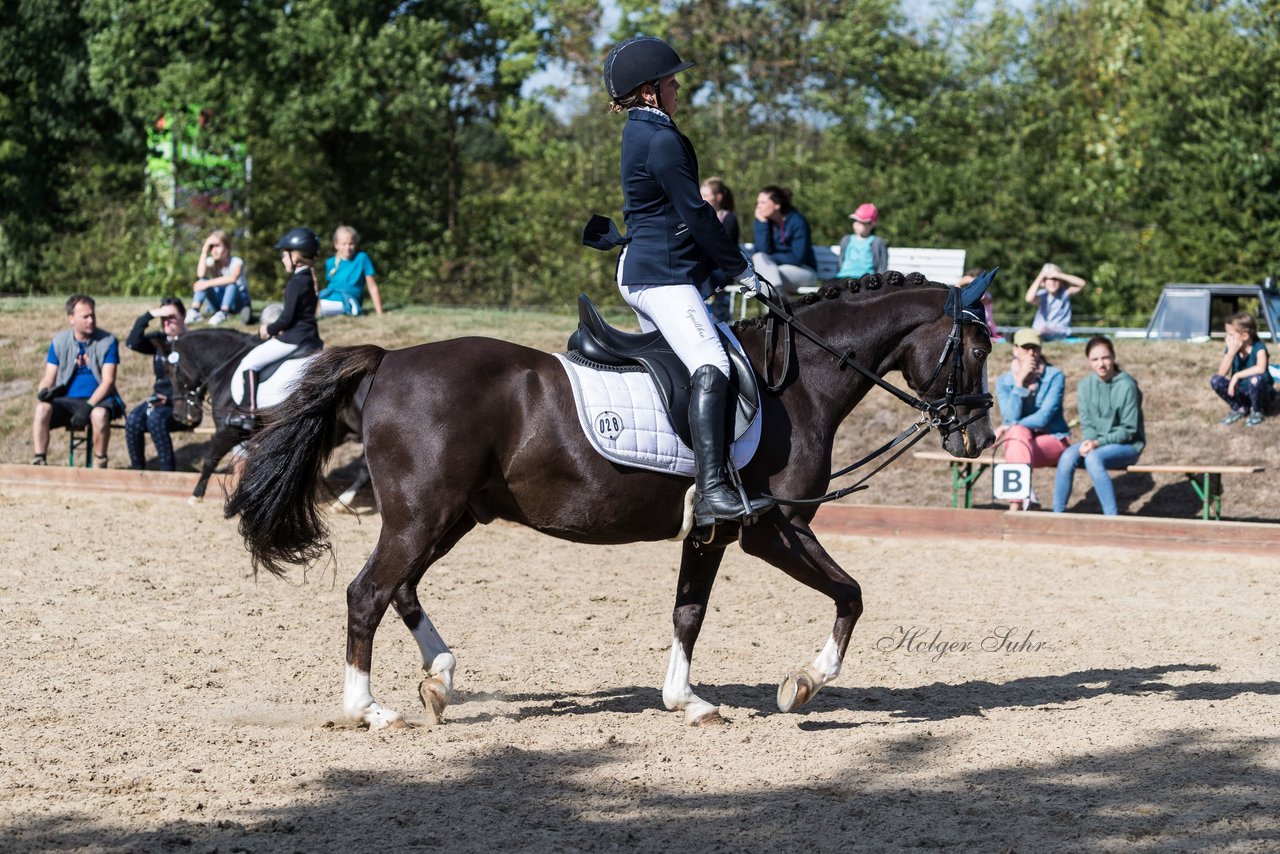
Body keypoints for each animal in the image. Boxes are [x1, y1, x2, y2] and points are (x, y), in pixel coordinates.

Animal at [225, 272, 993, 727]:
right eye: (979, 350)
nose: (979, 438)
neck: (795, 385)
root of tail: (388, 361)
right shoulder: (771, 529)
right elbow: (851, 594)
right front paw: (802, 683)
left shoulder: (709, 533)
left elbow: (689, 612)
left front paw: (688, 701)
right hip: (422, 515)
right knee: (369, 593)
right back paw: (369, 709)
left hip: (449, 516)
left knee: (401, 589)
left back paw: (439, 679)